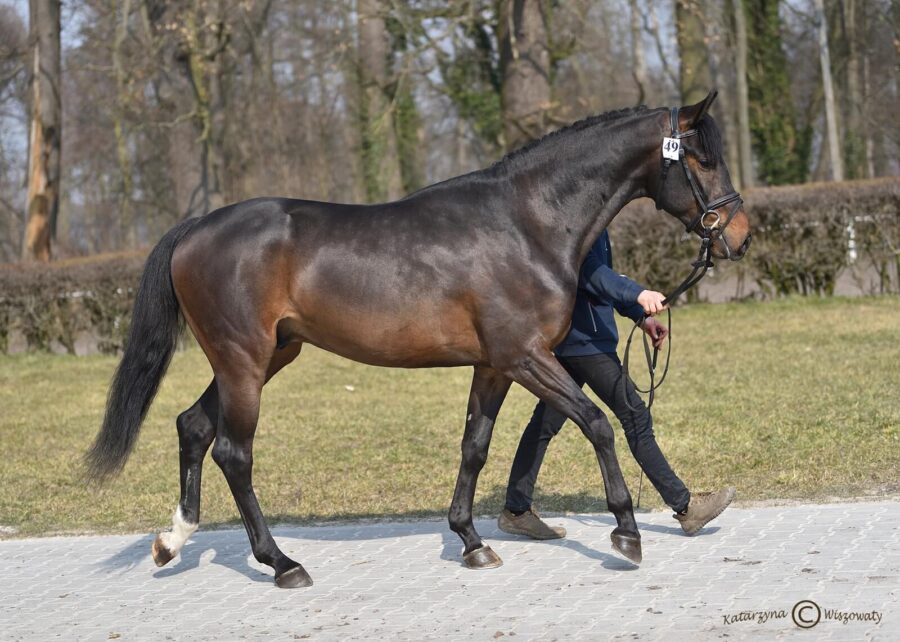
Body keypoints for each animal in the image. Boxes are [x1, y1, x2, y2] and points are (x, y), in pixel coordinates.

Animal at [89, 90, 752, 584]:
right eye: (703, 159)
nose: (739, 235)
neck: (526, 223)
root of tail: (198, 227)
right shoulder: (525, 356)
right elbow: (598, 423)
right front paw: (626, 532)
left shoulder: (494, 366)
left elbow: (474, 447)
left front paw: (472, 541)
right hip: (243, 362)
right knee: (233, 452)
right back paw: (282, 563)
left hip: (264, 357)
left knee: (193, 427)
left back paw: (173, 541)